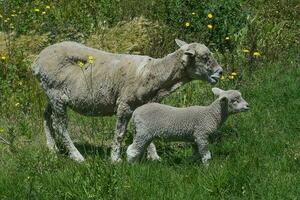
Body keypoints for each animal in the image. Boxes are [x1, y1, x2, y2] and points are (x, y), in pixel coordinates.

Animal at [31, 38, 223, 162]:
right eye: (205, 57)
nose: (220, 72)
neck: (154, 73)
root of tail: (37, 61)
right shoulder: (125, 104)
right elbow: (120, 134)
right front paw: (115, 159)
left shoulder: (144, 106)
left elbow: (149, 132)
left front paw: (153, 157)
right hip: (56, 94)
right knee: (60, 126)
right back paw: (77, 157)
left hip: (52, 95)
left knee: (46, 116)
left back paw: (52, 148)